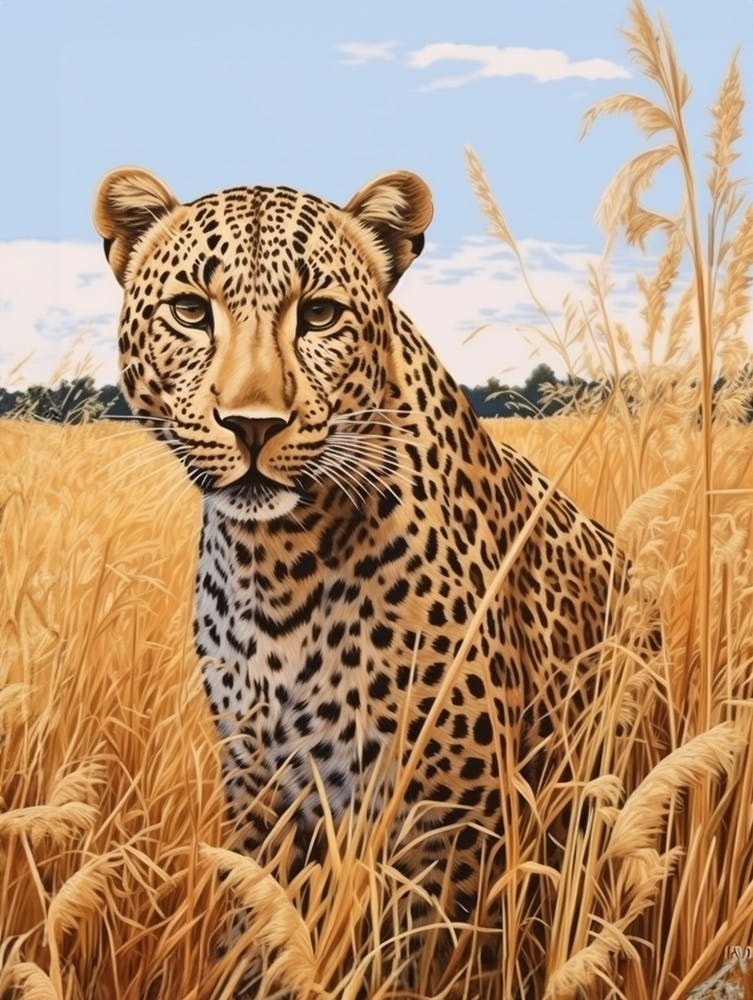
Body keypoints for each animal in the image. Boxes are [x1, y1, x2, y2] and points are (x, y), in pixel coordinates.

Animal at [94, 166, 628, 990]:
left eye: (318, 315)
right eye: (190, 311)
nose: (252, 424)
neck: (278, 566)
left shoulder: (454, 823)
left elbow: (431, 960)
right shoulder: (260, 790)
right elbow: (264, 924)